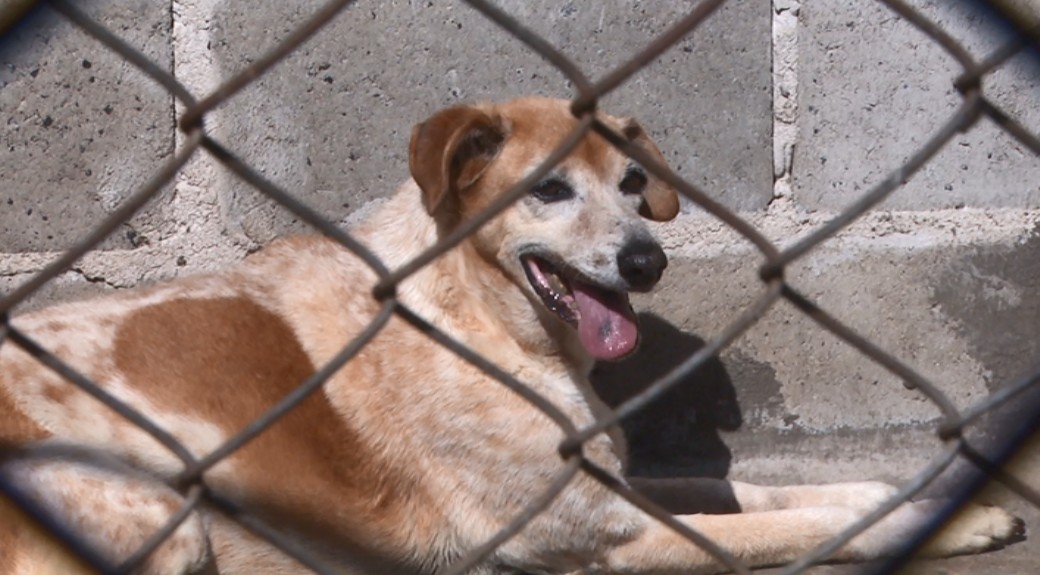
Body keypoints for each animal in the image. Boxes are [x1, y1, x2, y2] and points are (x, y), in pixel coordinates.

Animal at [0, 98, 1023, 573]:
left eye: (631, 182)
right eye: (550, 190)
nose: (647, 261)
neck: (477, 316)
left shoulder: (607, 485)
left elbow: (802, 489)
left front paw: (935, 493)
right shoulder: (601, 539)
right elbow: (809, 521)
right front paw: (948, 518)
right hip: (142, 509)